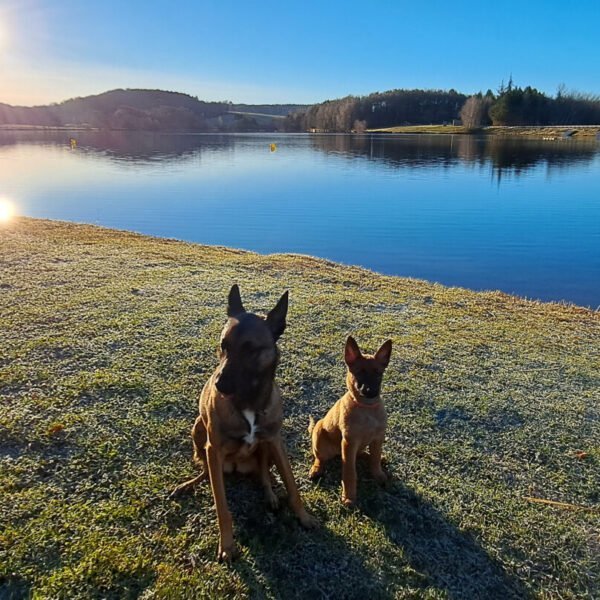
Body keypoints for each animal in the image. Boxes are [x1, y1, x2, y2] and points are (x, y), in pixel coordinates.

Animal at [171, 284, 316, 560]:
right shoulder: (214, 449)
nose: (218, 384)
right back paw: (188, 484)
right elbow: (222, 508)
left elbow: (292, 486)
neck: (248, 403)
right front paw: (227, 546)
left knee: (263, 474)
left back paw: (270, 494)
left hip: (265, 449)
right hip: (198, 430)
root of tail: (237, 468)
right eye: (223, 345)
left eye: (251, 349)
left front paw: (304, 517)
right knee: (206, 471)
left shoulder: (275, 441)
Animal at [310, 338, 394, 506]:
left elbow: (375, 459)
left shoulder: (378, 438)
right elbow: (349, 472)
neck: (366, 408)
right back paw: (316, 469)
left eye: (378, 373)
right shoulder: (349, 442)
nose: (370, 391)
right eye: (359, 372)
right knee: (320, 458)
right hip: (319, 433)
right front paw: (349, 496)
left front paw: (378, 474)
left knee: (366, 455)